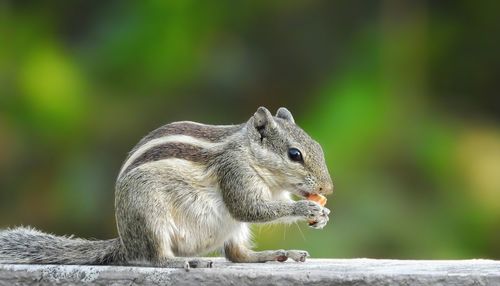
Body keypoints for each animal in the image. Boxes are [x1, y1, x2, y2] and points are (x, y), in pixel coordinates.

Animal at [2, 106, 336, 270]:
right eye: (295, 154)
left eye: (319, 147)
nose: (328, 188)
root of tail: (126, 242)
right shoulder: (235, 174)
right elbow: (249, 208)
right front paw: (306, 207)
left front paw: (322, 214)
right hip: (149, 215)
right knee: (154, 258)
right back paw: (183, 260)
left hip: (233, 230)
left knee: (236, 254)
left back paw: (278, 254)